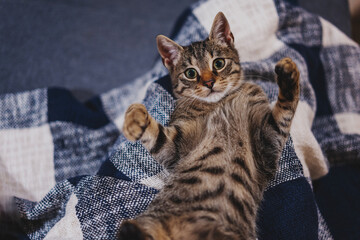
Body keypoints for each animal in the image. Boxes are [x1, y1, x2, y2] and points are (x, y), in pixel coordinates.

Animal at [119, 11, 300, 240]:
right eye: (190, 73)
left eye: (218, 63)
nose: (208, 83)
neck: (220, 103)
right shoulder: (174, 148)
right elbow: (156, 133)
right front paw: (134, 118)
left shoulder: (267, 147)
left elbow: (285, 110)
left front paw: (289, 74)